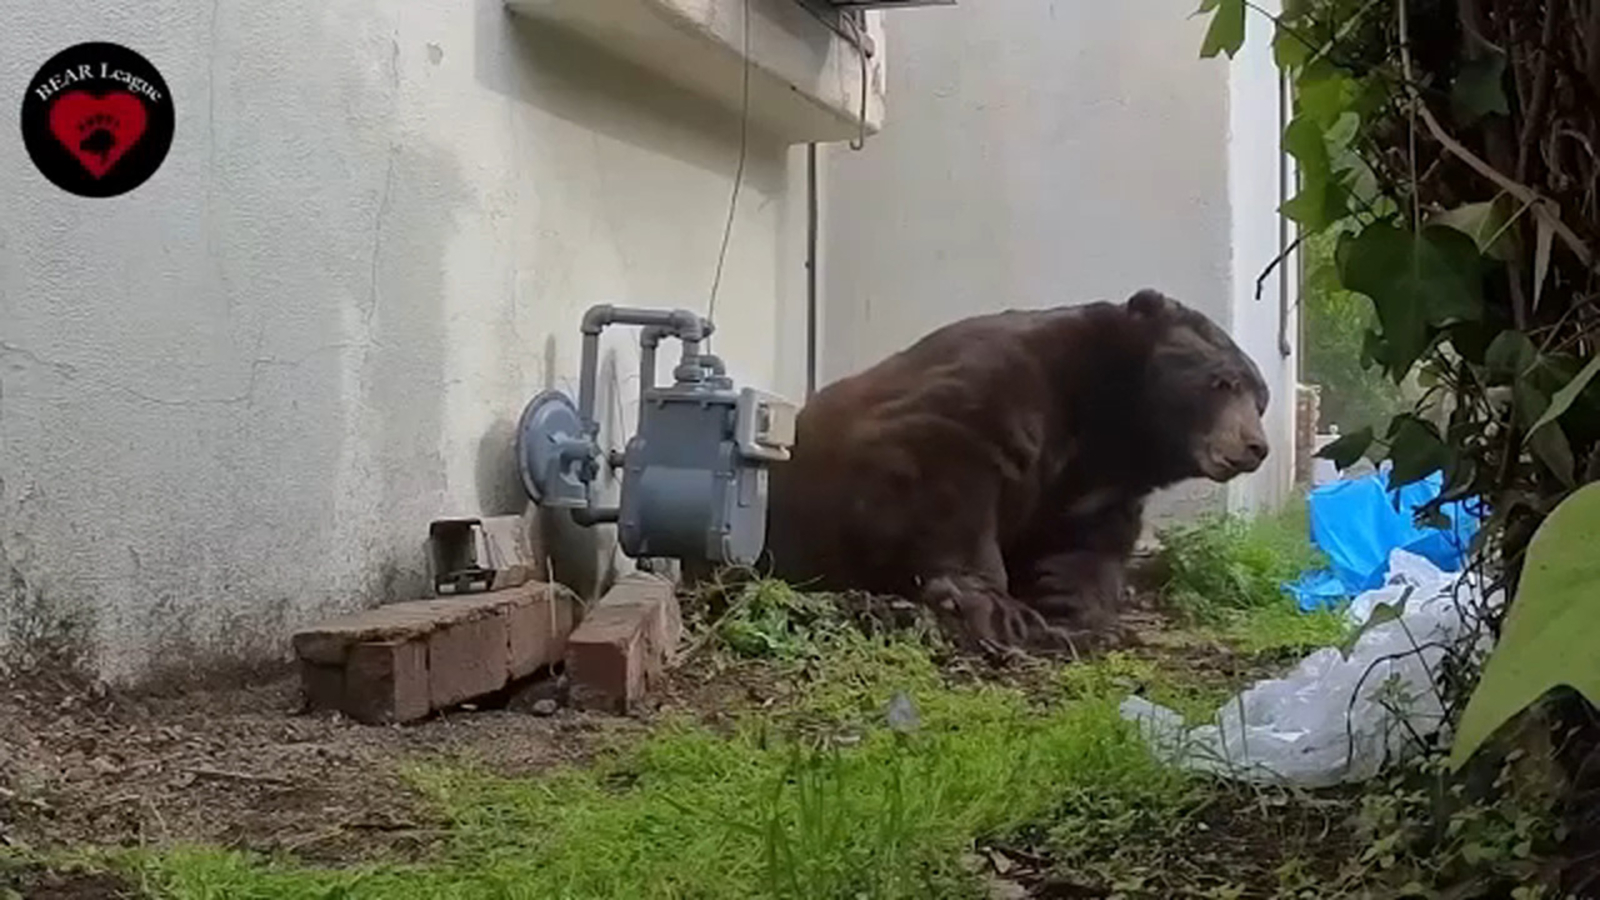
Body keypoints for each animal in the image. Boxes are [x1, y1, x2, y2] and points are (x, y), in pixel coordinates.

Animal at [761, 288, 1270, 654]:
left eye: (1260, 398)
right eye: (1223, 382)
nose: (1255, 447)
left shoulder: (1092, 487)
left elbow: (1078, 549)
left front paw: (1073, 614)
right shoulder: (1001, 389)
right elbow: (937, 469)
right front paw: (998, 609)